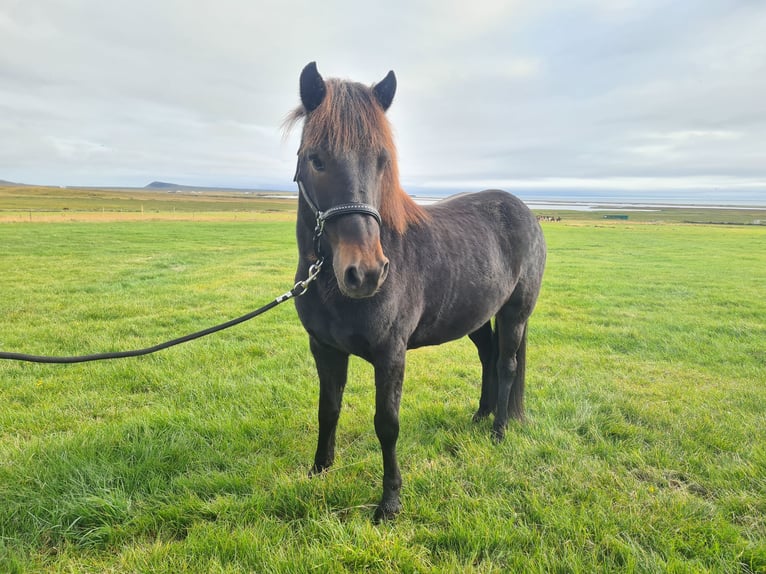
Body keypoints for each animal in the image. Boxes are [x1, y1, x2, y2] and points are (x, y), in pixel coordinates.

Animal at [286, 62, 544, 520]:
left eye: (382, 160)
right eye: (315, 159)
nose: (367, 272)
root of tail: (526, 212)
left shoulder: (391, 354)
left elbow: (387, 425)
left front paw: (389, 502)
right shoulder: (324, 349)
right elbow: (328, 409)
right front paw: (319, 470)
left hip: (515, 313)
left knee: (507, 364)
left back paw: (498, 431)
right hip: (477, 316)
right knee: (488, 356)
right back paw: (480, 417)